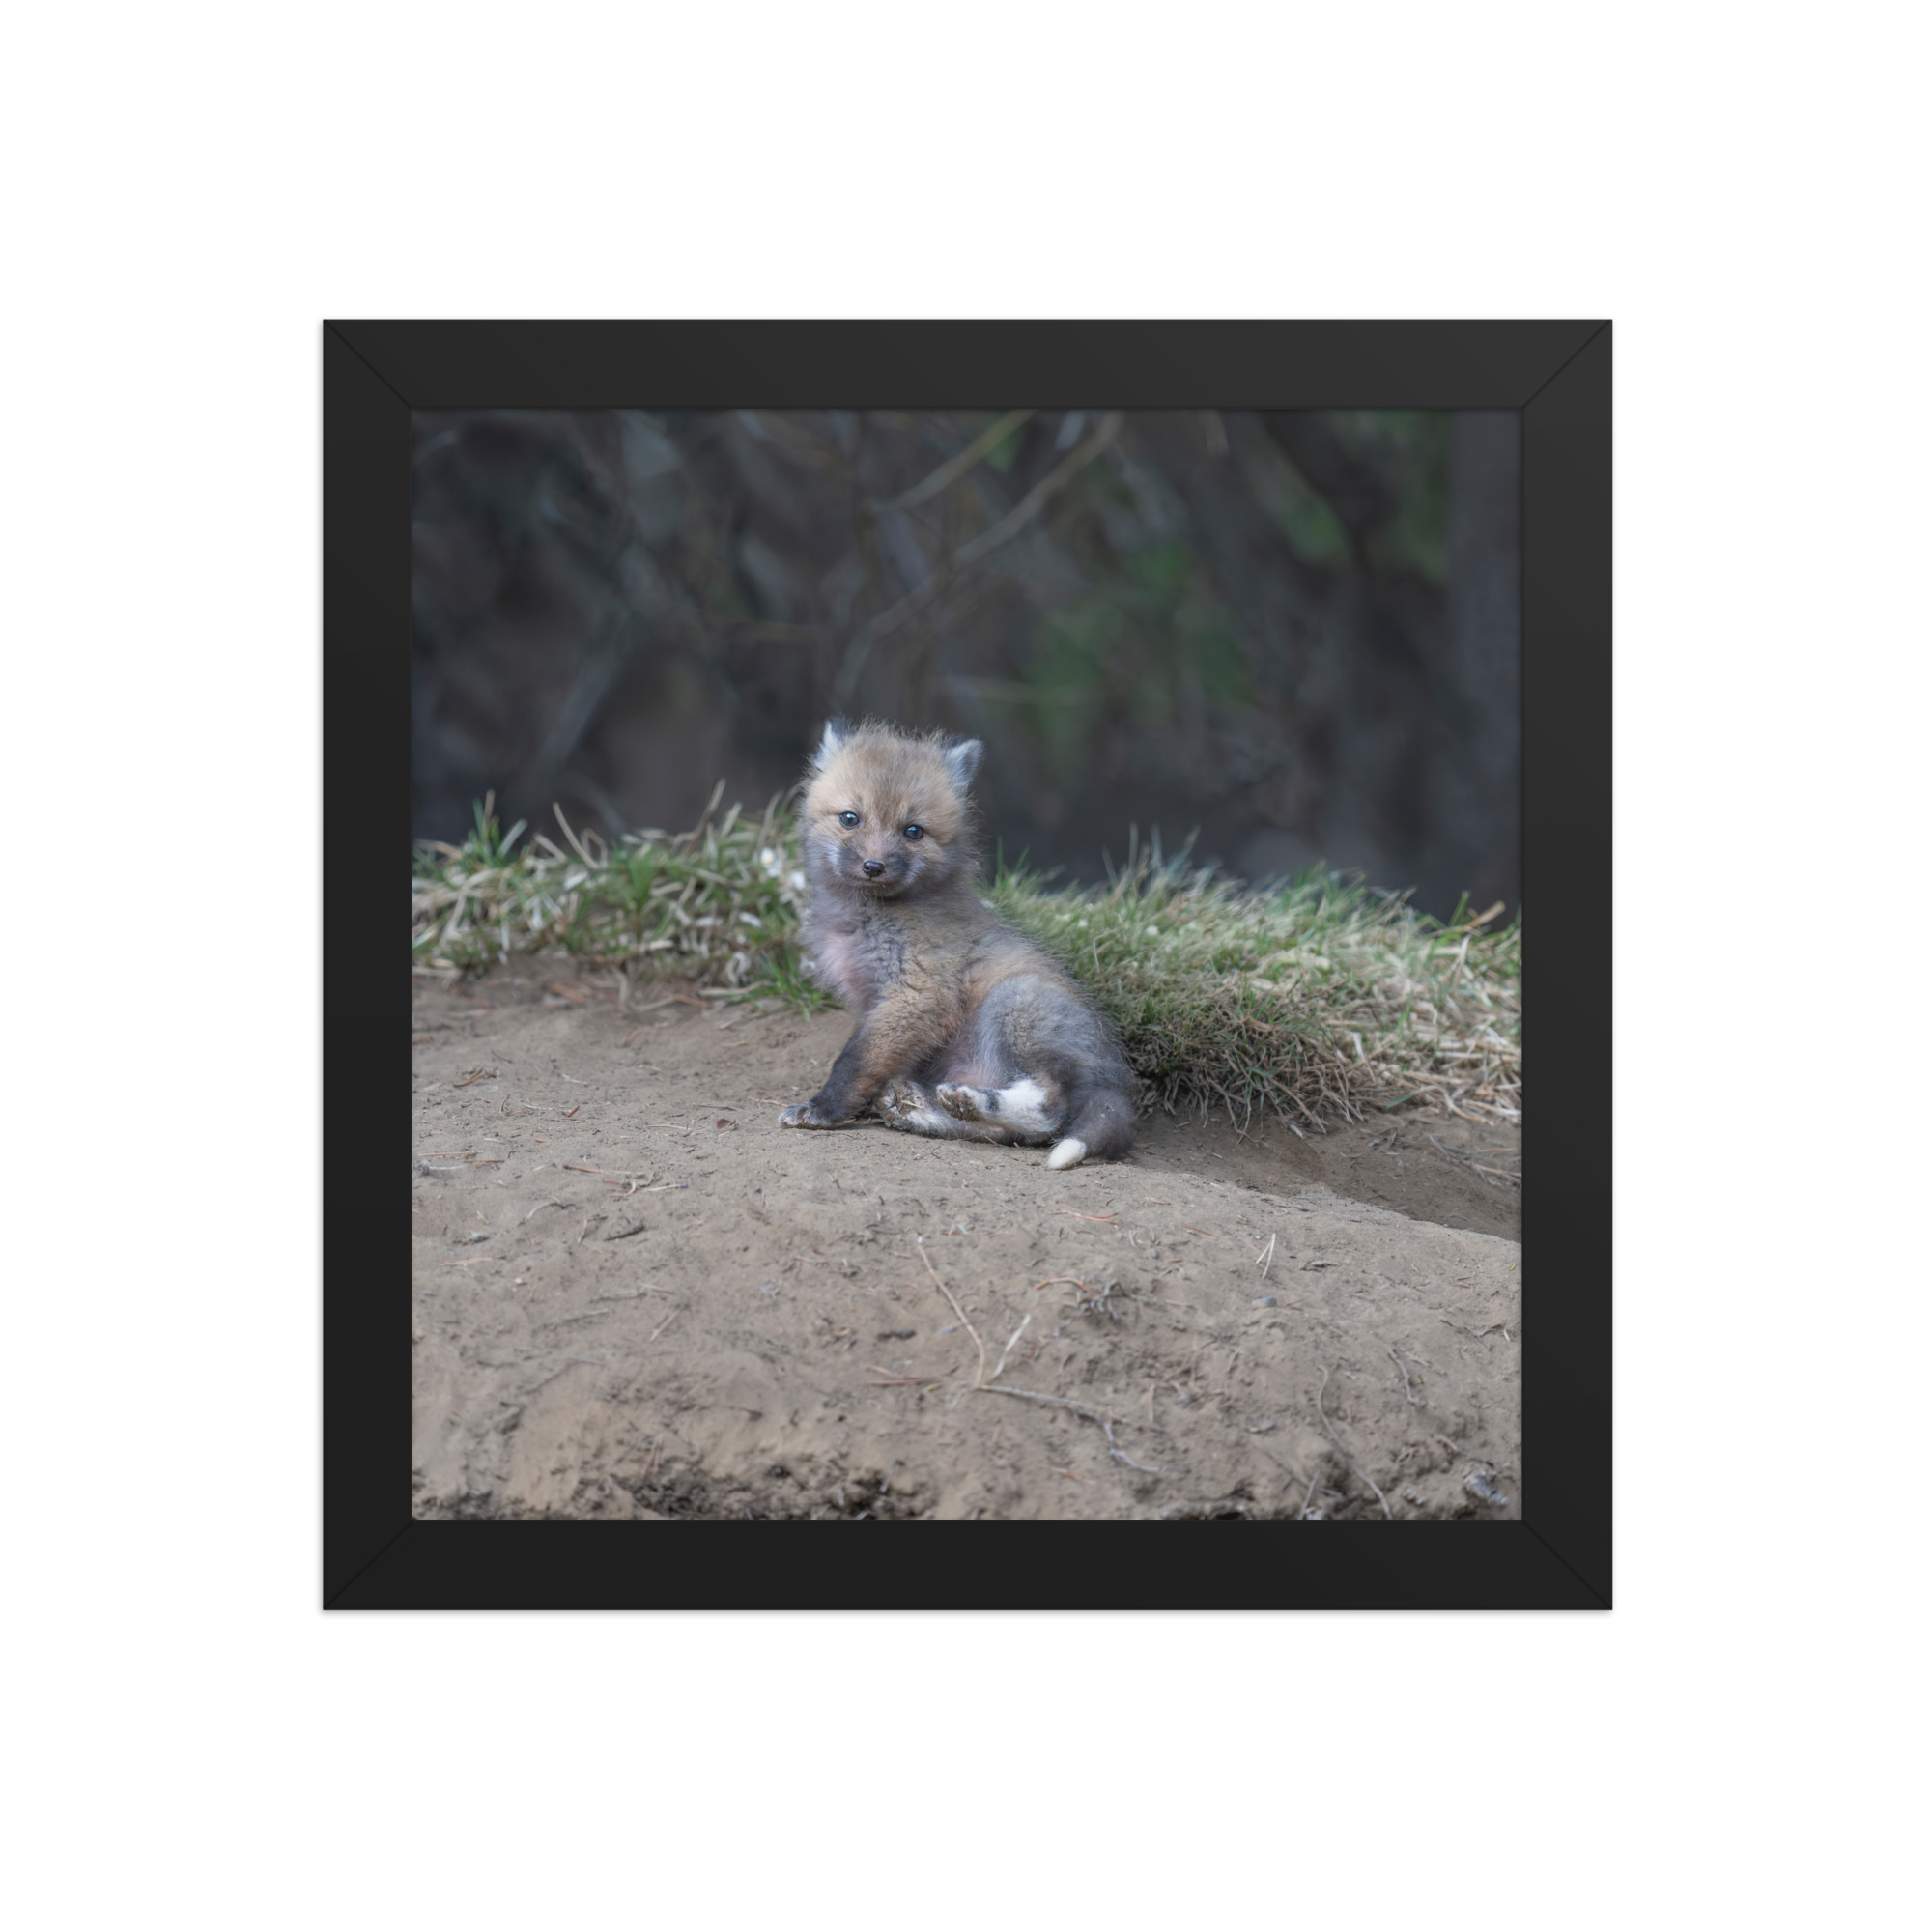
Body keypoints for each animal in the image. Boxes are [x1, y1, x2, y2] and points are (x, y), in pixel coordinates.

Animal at [776, 719, 1136, 1170]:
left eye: (913, 831)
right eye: (850, 819)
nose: (873, 866)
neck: (867, 917)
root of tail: (1116, 1082)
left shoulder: (918, 994)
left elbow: (854, 1061)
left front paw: (823, 1109)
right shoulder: (879, 1003)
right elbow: (869, 1061)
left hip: (1015, 1003)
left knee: (1049, 1110)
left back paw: (969, 1100)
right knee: (1009, 1134)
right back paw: (925, 1109)